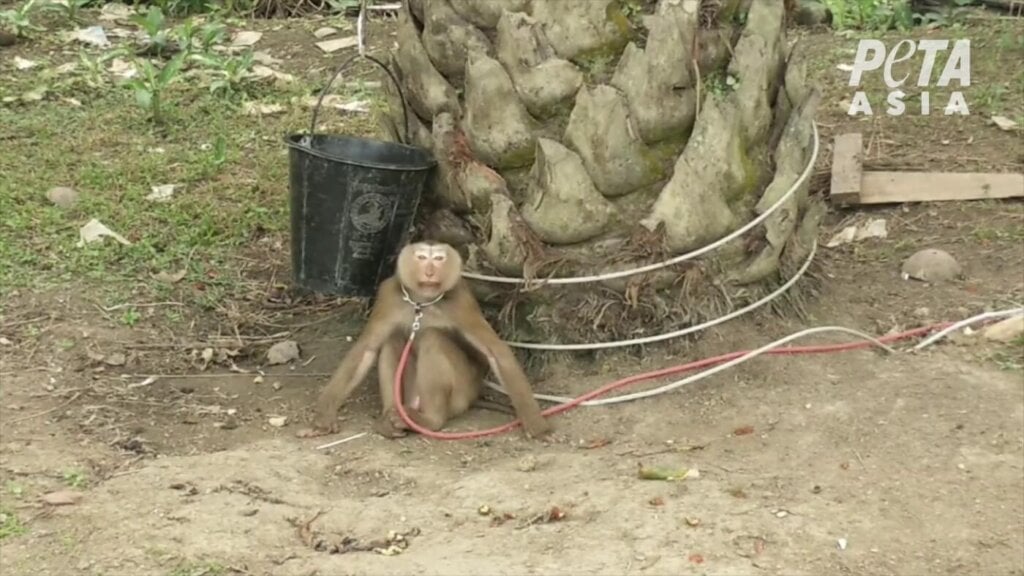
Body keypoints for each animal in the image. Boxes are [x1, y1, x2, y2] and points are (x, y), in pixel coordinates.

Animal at [296, 239, 552, 436]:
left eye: (438, 259)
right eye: (421, 257)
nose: (429, 272)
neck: (421, 302)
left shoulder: (461, 301)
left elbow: (495, 352)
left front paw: (537, 427)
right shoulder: (388, 296)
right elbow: (366, 350)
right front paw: (323, 421)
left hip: (461, 394)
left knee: (432, 338)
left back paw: (430, 420)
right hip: (411, 394)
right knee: (393, 340)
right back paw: (392, 417)